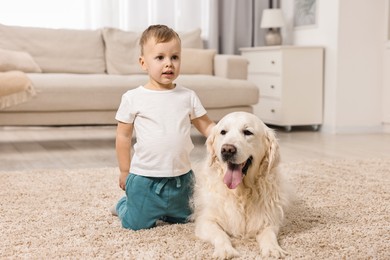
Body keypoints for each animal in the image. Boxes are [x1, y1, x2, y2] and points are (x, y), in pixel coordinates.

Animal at [192, 111, 290, 258]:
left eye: (247, 132)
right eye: (223, 132)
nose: (227, 150)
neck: (240, 192)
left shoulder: (269, 220)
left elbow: (269, 235)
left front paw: (273, 249)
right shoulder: (206, 221)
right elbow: (219, 234)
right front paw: (225, 250)